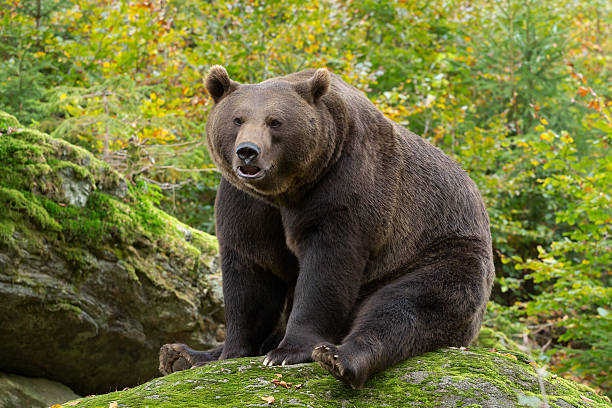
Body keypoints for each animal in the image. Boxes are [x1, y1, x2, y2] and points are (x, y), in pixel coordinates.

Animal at [158, 66, 492, 388]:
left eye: (275, 121)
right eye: (237, 119)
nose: (248, 151)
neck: (286, 191)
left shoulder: (344, 185)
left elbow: (327, 267)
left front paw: (287, 352)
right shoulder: (248, 204)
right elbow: (251, 271)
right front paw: (230, 351)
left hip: (438, 253)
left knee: (405, 307)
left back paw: (338, 358)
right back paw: (181, 354)